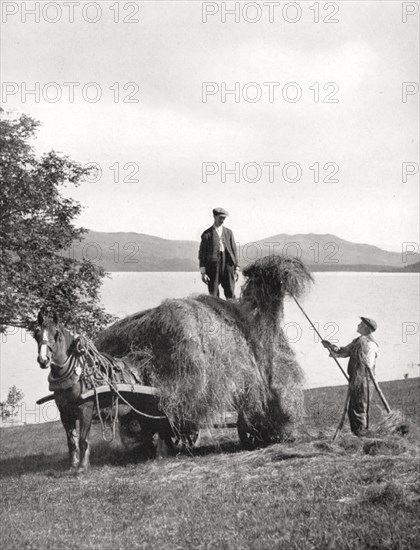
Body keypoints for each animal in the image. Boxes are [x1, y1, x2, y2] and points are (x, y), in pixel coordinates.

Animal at [33, 310, 175, 474]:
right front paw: (72, 466)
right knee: (148, 428)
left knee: (161, 425)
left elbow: (83, 439)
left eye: (56, 335)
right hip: (138, 408)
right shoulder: (64, 411)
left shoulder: (86, 407)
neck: (76, 375)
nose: (43, 360)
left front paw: (82, 467)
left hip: (154, 405)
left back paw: (160, 454)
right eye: (36, 334)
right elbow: (71, 441)